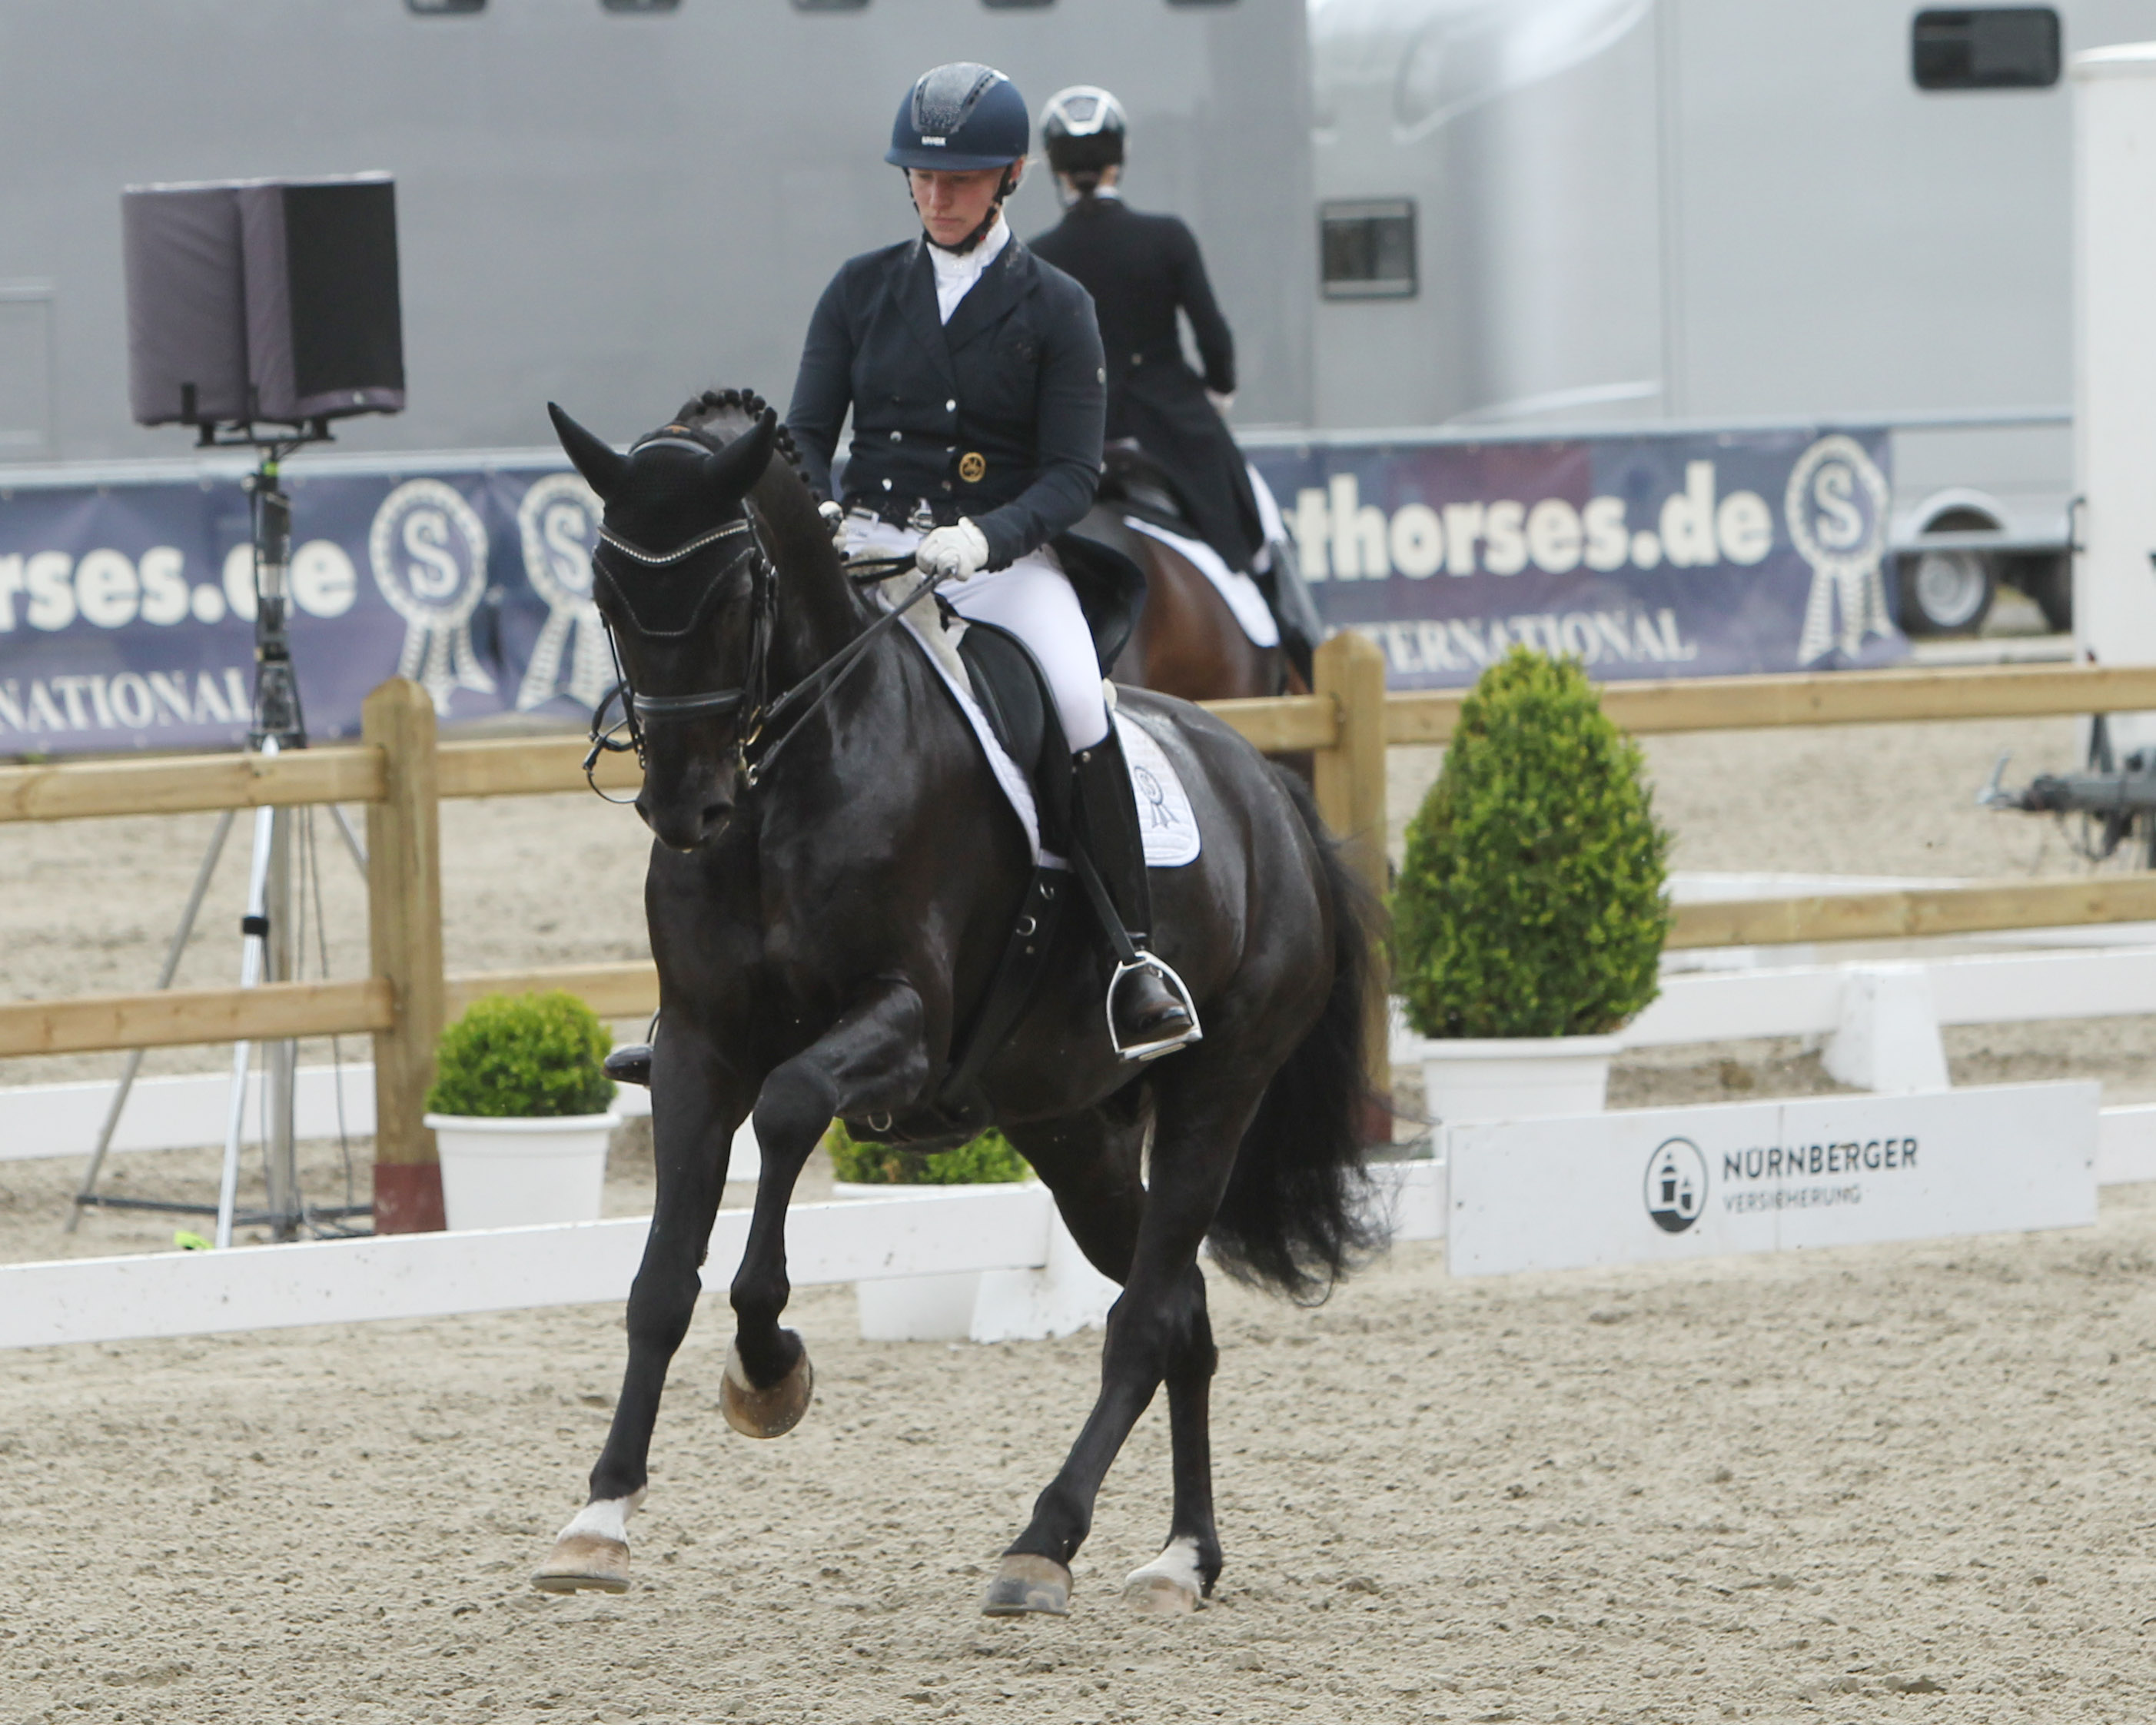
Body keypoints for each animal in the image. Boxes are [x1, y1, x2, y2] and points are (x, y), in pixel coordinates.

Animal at [534, 387, 1380, 1621]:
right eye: (606, 595)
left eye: (734, 593)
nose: (685, 809)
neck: (788, 779)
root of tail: (1266, 789)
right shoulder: (697, 1046)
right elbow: (658, 1283)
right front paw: (598, 1521)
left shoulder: (904, 1028)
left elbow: (790, 1110)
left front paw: (770, 1367)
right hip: (1071, 1128)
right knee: (1179, 1313)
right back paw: (1182, 1557)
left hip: (1216, 1092)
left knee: (1143, 1320)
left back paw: (1044, 1543)